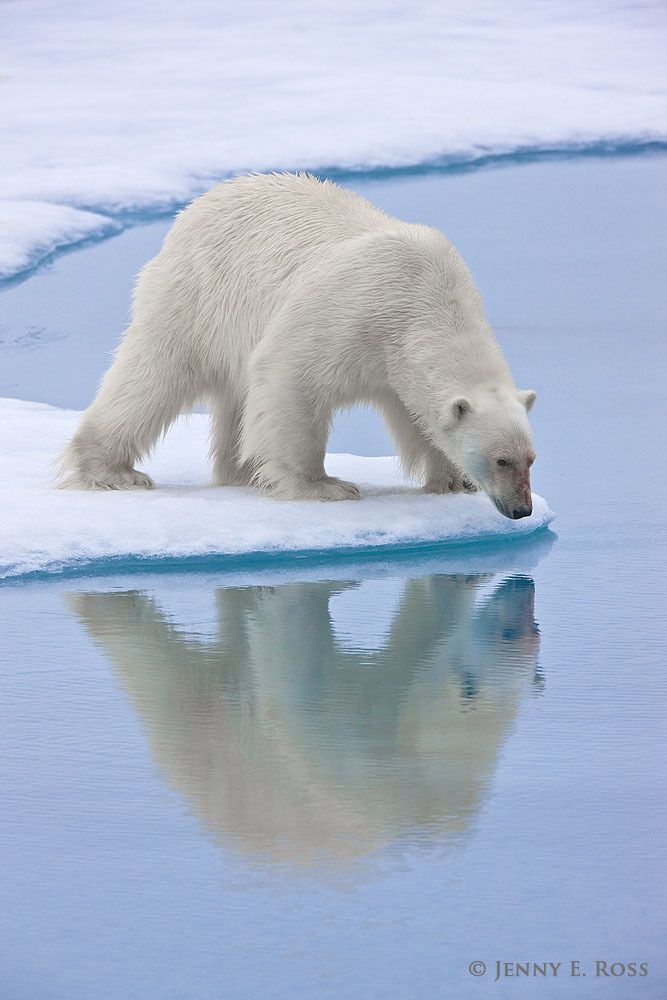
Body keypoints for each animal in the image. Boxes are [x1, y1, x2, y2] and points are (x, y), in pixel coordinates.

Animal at [58, 172, 537, 518]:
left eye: (530, 459)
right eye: (501, 461)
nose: (521, 510)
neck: (426, 297)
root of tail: (198, 204)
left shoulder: (396, 357)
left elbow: (417, 415)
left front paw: (453, 480)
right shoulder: (354, 315)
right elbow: (292, 380)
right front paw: (325, 486)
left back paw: (243, 471)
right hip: (197, 298)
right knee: (151, 375)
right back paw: (113, 471)